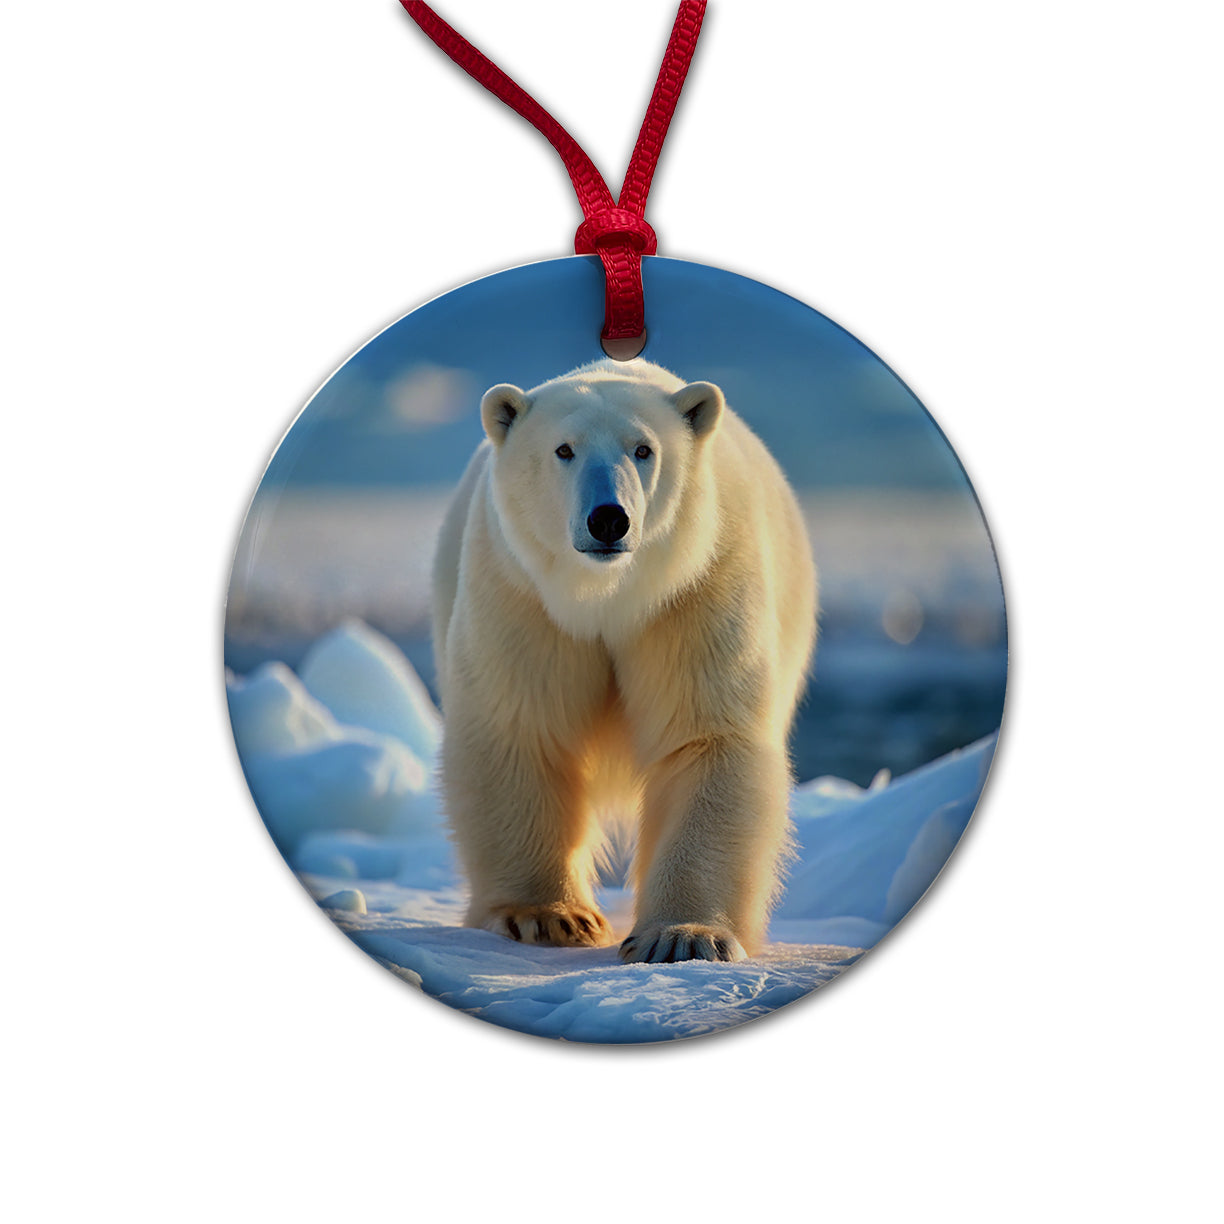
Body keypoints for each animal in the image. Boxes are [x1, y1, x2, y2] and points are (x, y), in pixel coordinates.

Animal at [431, 359, 817, 962]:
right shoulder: (521, 594)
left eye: (643, 449)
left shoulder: (696, 586)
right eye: (564, 449)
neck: (608, 596)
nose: (608, 519)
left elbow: (704, 737)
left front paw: (683, 936)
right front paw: (547, 916)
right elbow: (521, 728)